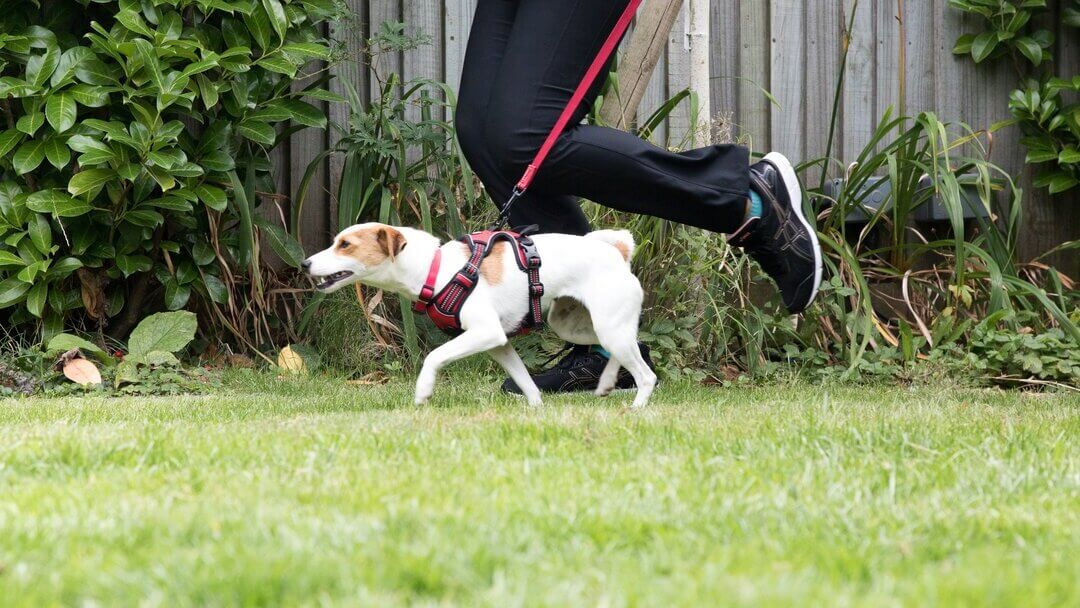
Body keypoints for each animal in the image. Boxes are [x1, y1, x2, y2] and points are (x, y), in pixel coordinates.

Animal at [304, 224, 656, 408]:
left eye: (345, 245)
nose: (305, 263)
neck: (436, 269)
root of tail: (618, 252)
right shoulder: (499, 344)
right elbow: (526, 382)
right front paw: (537, 409)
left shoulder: (486, 332)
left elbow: (434, 356)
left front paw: (423, 391)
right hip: (578, 326)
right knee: (625, 349)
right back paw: (607, 382)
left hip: (607, 326)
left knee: (646, 374)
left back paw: (636, 408)